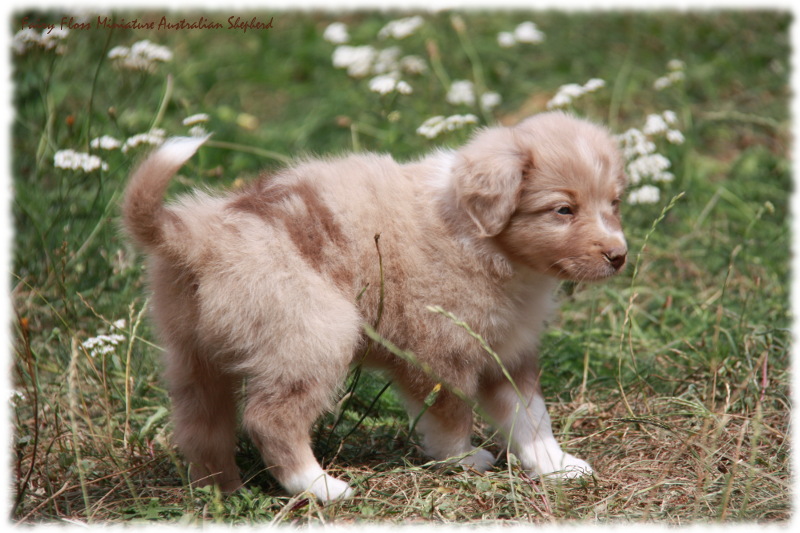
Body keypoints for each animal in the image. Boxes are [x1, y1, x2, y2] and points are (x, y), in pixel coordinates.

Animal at [122, 110, 628, 500]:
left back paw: (224, 491)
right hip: (312, 334)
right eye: (563, 210)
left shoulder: (507, 348)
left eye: (615, 203)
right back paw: (321, 487)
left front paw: (557, 464)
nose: (619, 256)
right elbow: (451, 415)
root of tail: (198, 238)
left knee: (200, 426)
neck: (482, 239)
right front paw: (463, 460)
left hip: (193, 354)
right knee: (269, 419)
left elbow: (530, 415)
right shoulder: (440, 351)